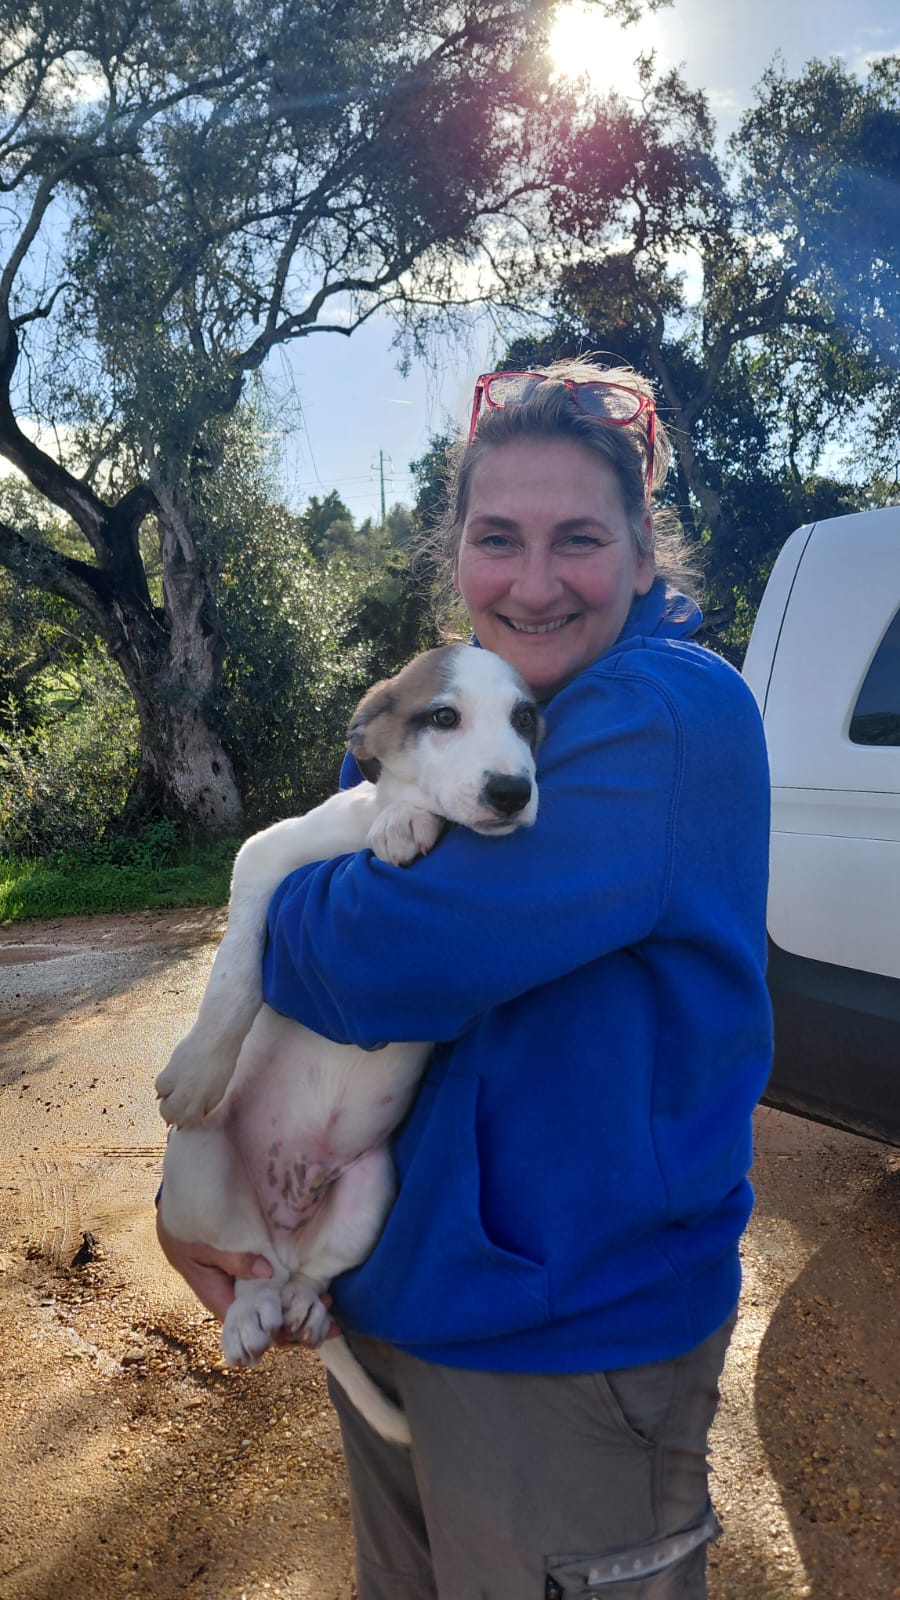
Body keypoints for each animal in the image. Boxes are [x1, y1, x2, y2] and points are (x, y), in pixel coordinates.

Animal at [155, 645, 542, 1443]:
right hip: (196, 1171)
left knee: (306, 1277)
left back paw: (299, 1304)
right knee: (247, 1267)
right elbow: (237, 969)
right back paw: (248, 1311)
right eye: (443, 717)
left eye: (526, 719)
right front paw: (201, 1066)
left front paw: (405, 818)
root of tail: (282, 1231)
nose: (513, 791)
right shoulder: (266, 856)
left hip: (372, 1192)